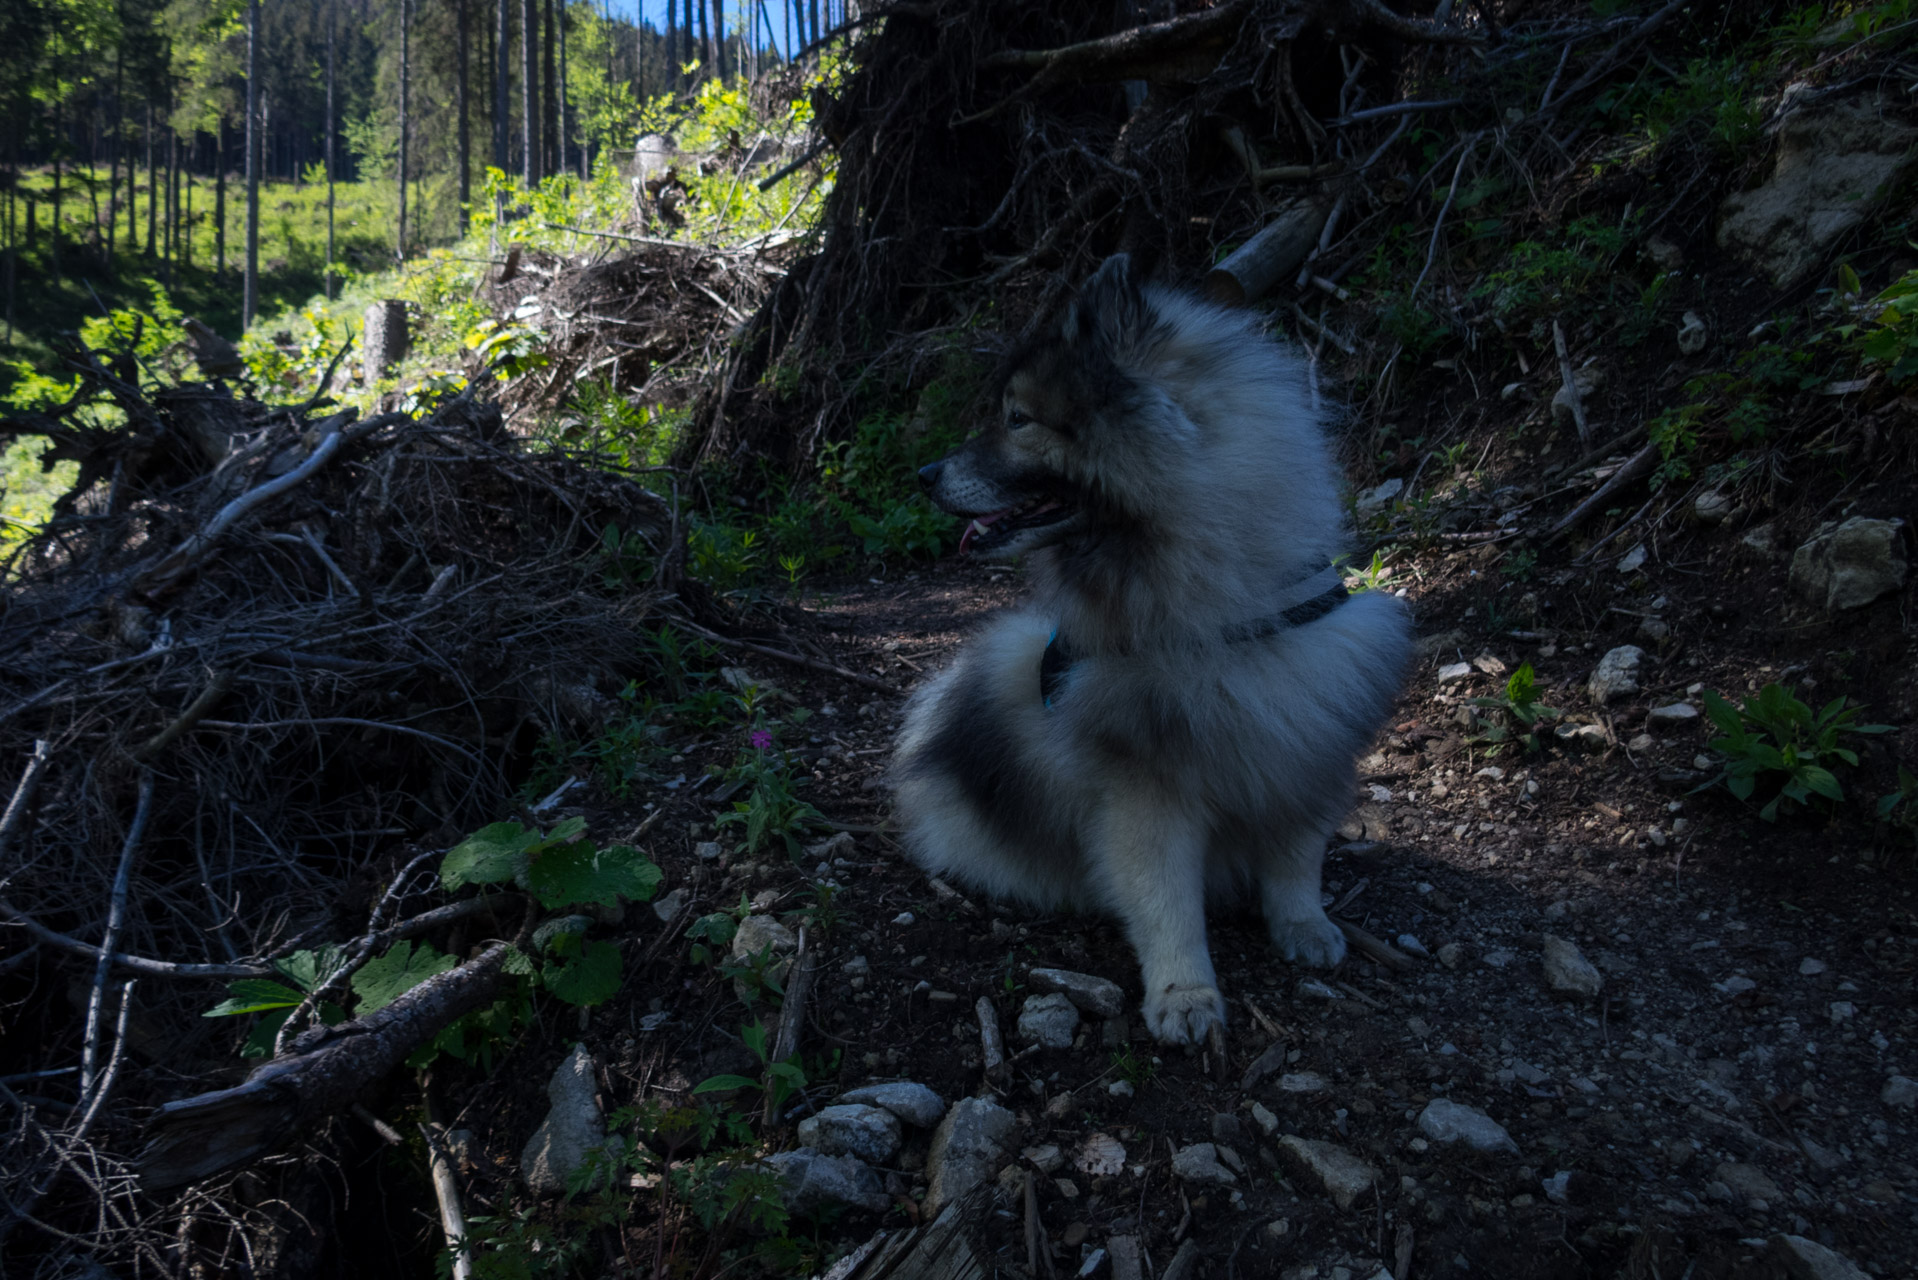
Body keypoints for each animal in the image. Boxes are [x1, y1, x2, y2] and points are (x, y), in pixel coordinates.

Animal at [889, 255, 1419, 1043]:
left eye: (1018, 419)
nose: (923, 474)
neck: (1217, 616)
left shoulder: (1304, 742)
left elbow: (1296, 859)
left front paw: (1305, 926)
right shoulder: (1148, 793)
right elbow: (1167, 902)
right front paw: (1185, 996)